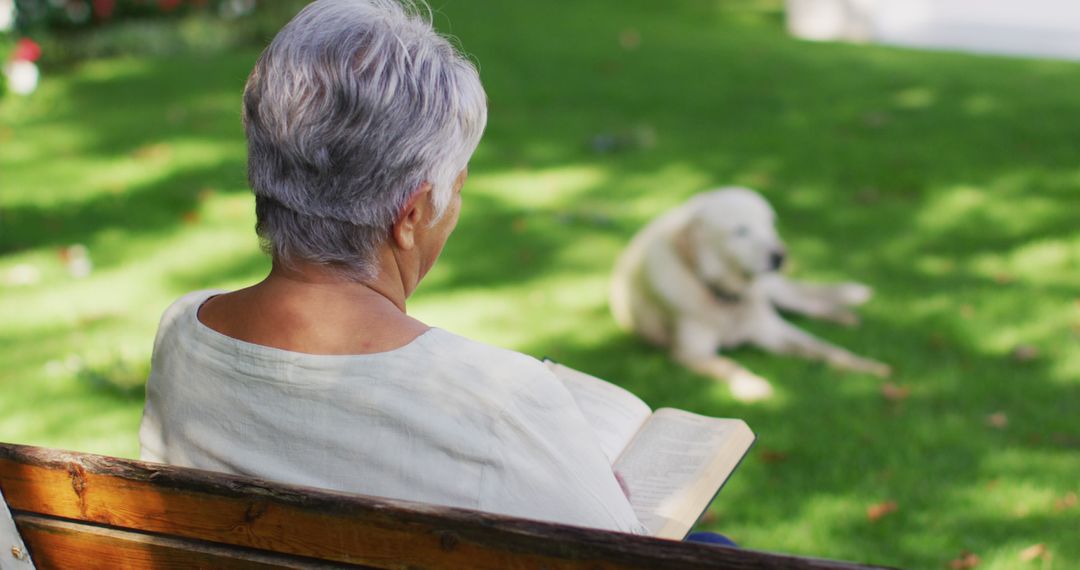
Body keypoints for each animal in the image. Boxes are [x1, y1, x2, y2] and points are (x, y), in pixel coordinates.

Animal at [613, 186, 889, 401]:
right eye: (741, 231)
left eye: (771, 224)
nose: (781, 256)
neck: (728, 297)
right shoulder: (690, 352)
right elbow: (729, 365)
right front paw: (752, 386)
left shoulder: (772, 331)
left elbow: (823, 348)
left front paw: (866, 366)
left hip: (775, 289)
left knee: (807, 301)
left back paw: (845, 315)